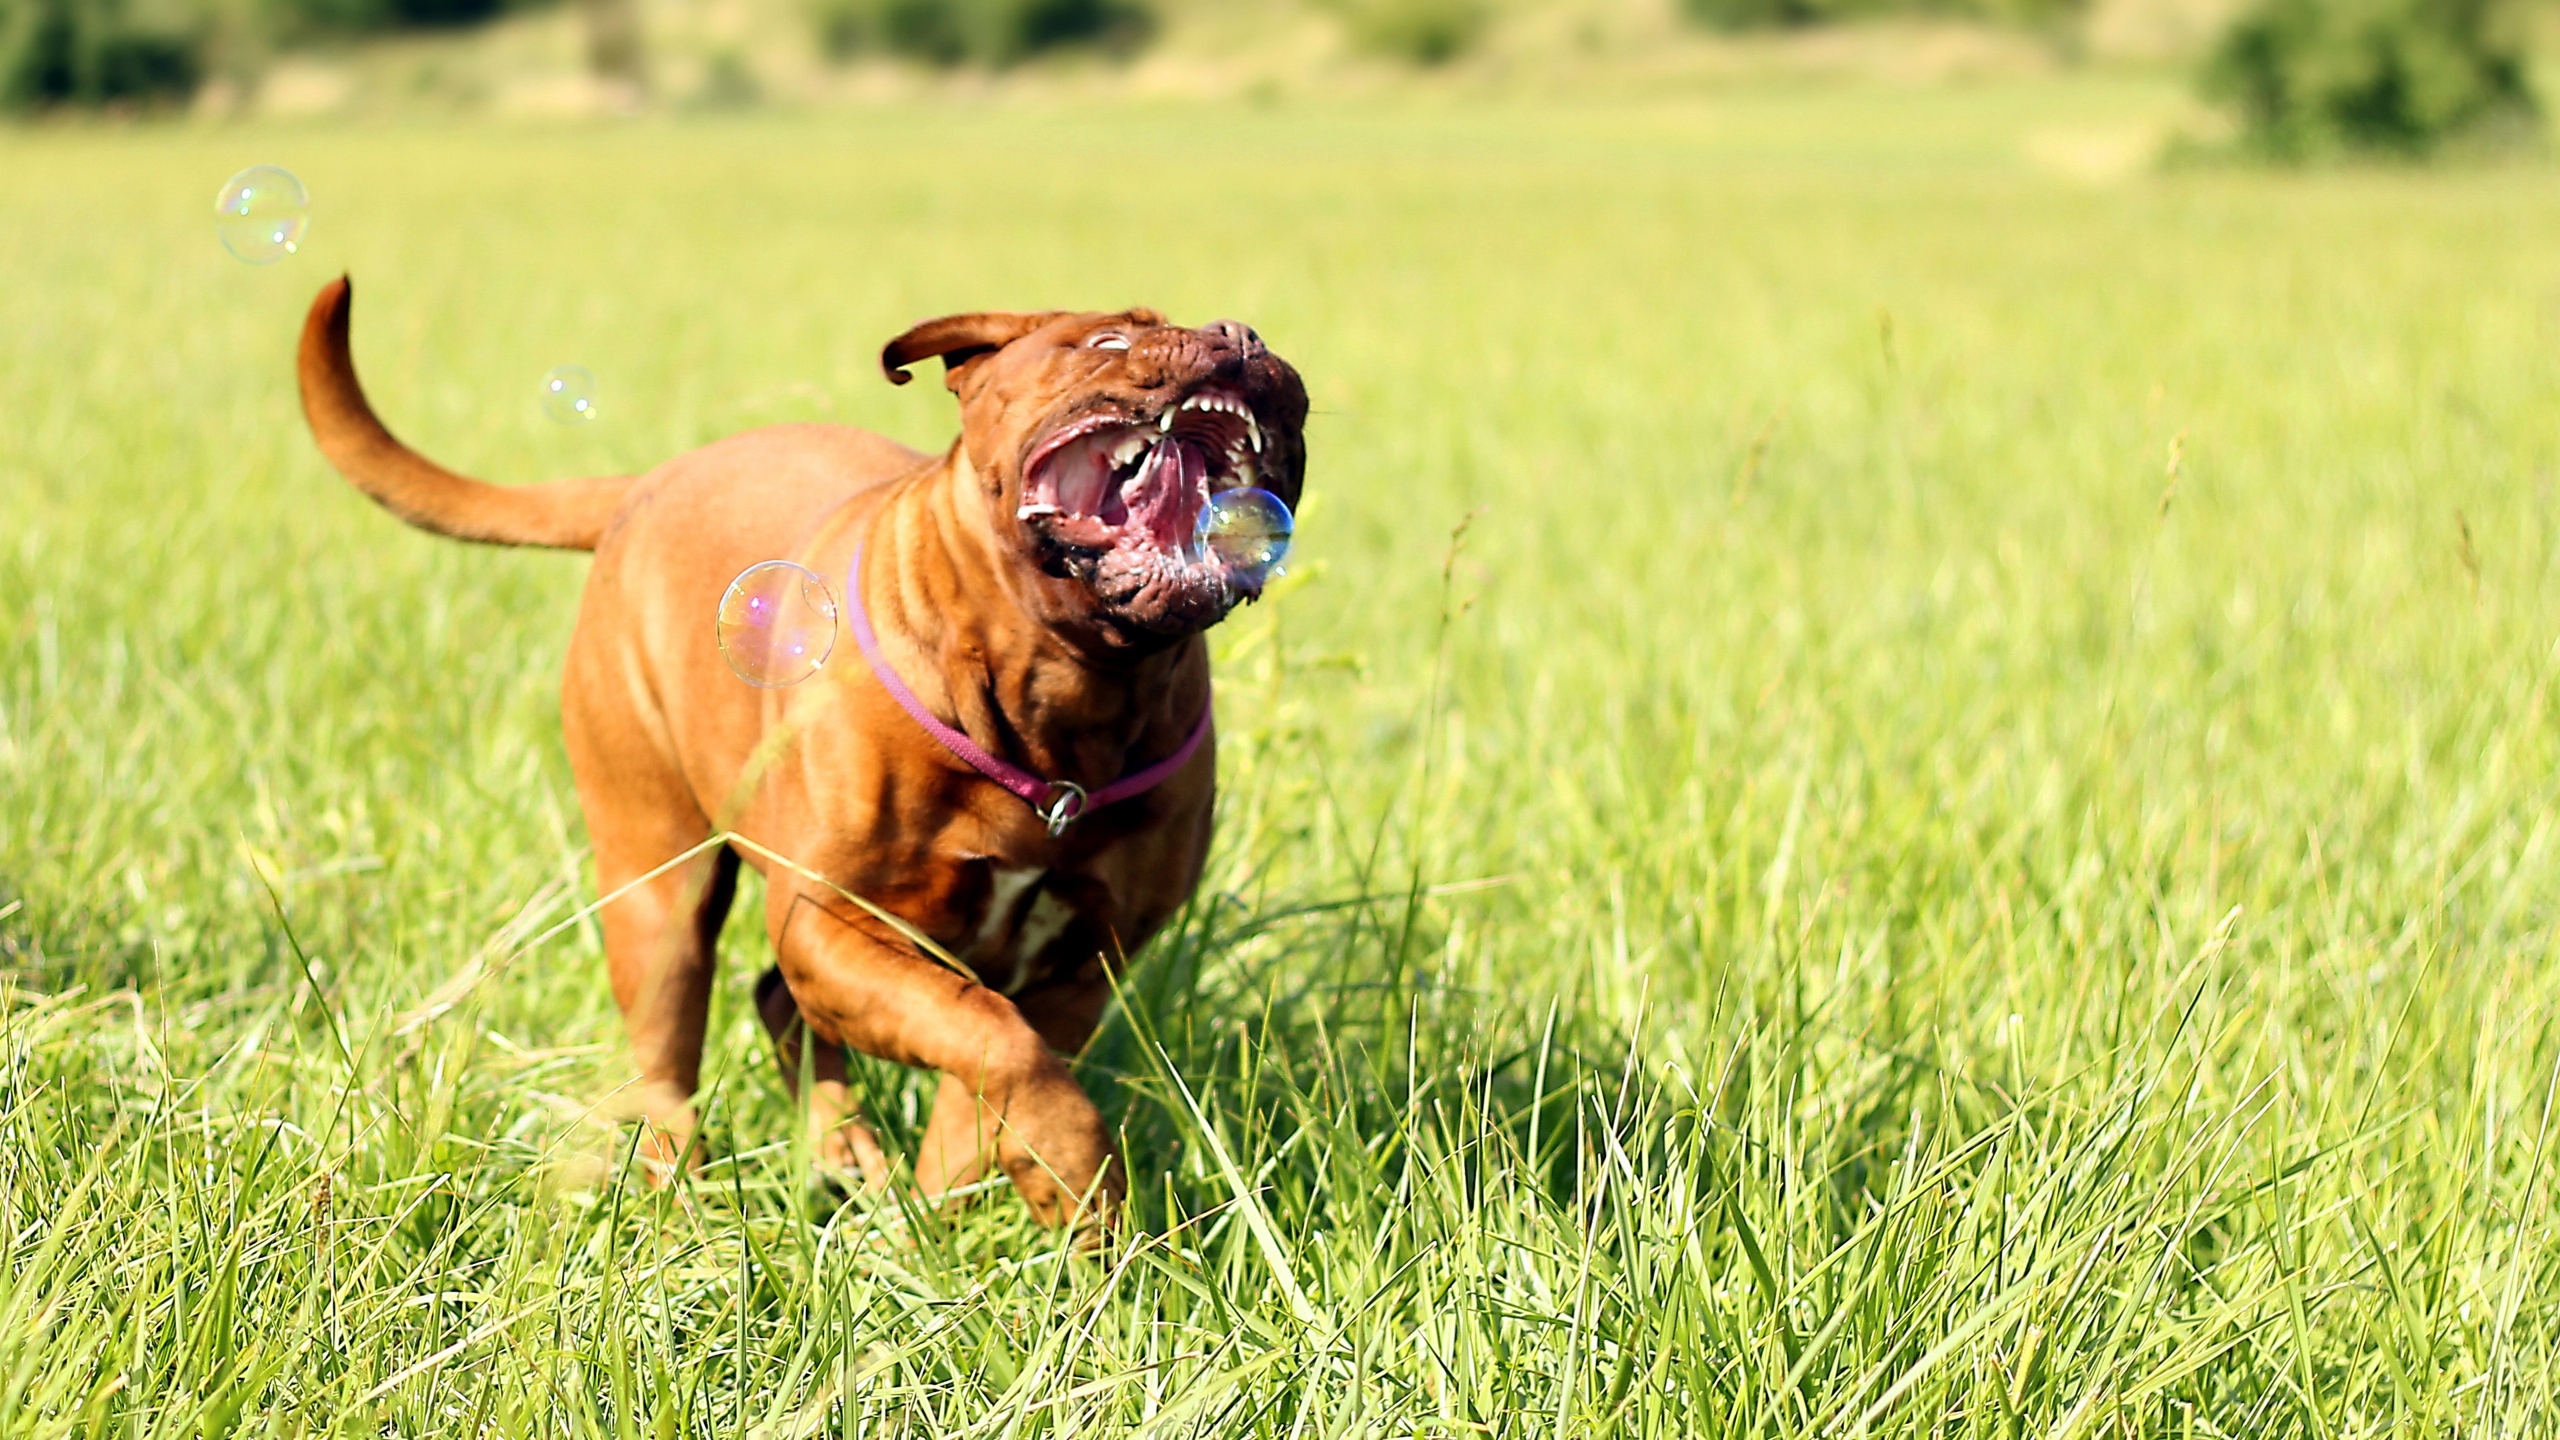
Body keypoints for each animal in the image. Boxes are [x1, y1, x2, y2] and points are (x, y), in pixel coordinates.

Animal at [293, 278, 1310, 1219]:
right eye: (1104, 341)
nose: (1242, 335)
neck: (1070, 686)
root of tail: (646, 484)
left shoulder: (1082, 965)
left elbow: (991, 1065)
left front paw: (964, 1195)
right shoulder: (832, 923)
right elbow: (991, 1037)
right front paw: (1068, 1170)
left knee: (780, 1004)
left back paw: (847, 1158)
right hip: (660, 888)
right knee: (669, 1056)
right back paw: (690, 1204)